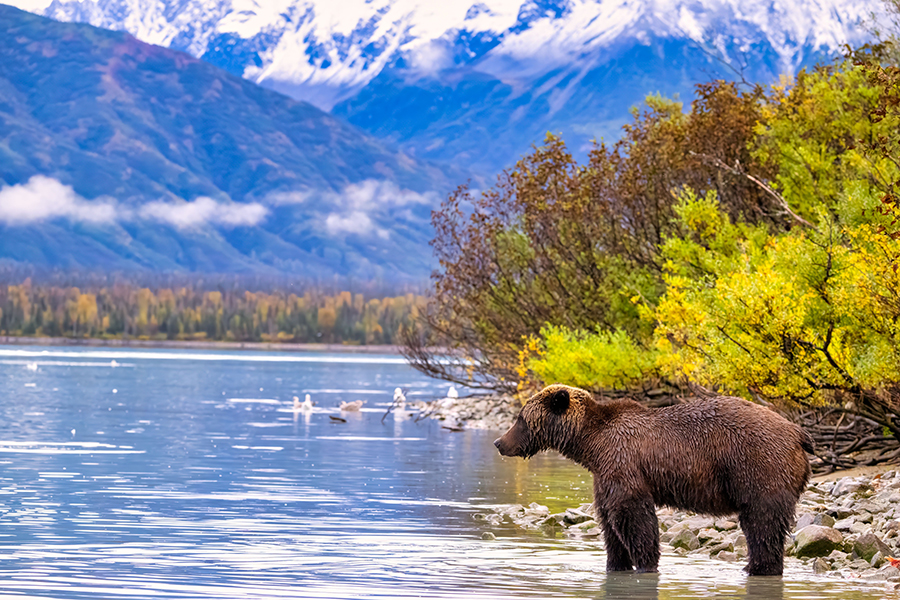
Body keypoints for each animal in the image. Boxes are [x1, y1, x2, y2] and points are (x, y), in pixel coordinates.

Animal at [494, 384, 813, 576]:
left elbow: (633, 517)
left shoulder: (624, 463)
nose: (499, 442)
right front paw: (616, 564)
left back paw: (758, 568)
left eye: (521, 419)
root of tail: (798, 433)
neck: (591, 445)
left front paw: (646, 565)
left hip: (758, 467)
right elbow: (609, 523)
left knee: (762, 523)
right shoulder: (604, 475)